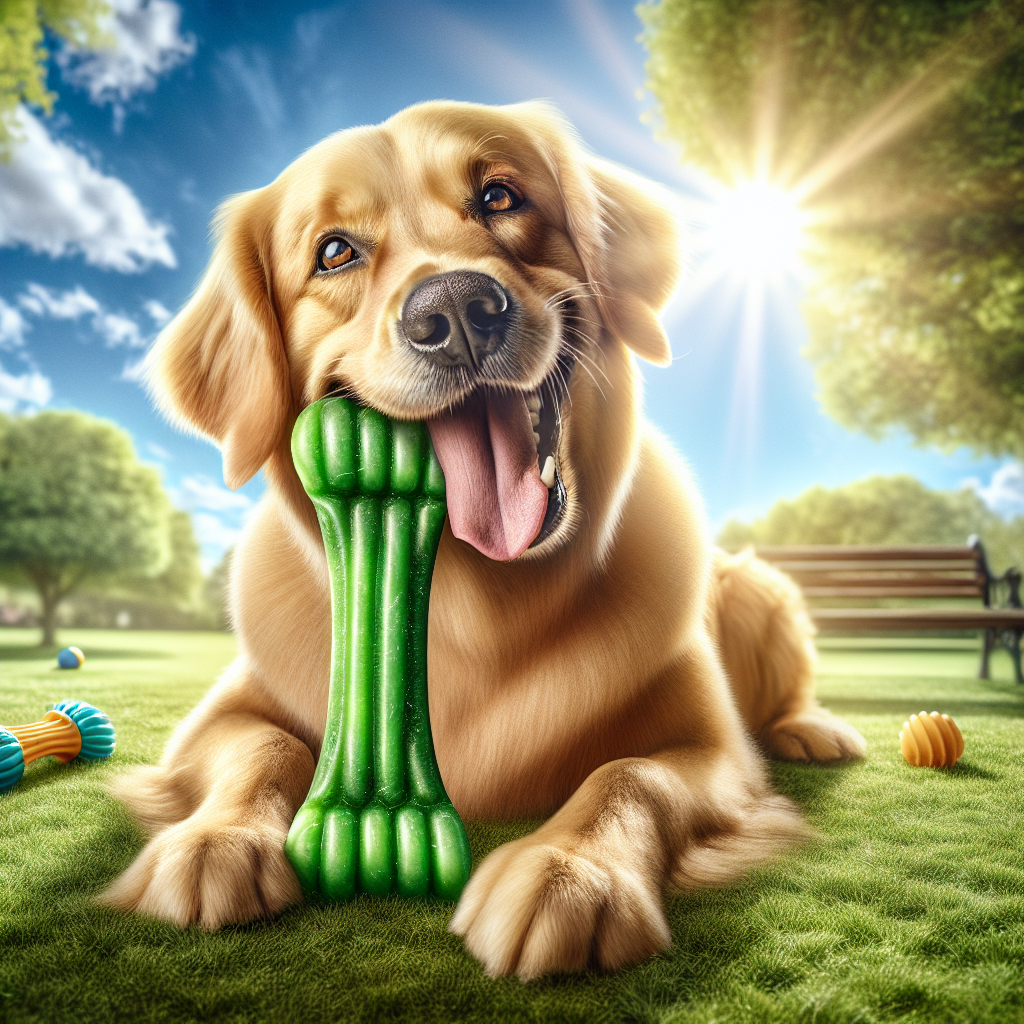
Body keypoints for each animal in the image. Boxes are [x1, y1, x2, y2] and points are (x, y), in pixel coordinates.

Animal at [99, 99, 864, 978]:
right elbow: (263, 751)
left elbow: (630, 775)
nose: (456, 310)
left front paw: (570, 873)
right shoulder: (220, 715)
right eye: (334, 252)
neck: (472, 604)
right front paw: (216, 838)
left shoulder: (715, 750)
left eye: (500, 196)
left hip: (758, 588)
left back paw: (814, 728)